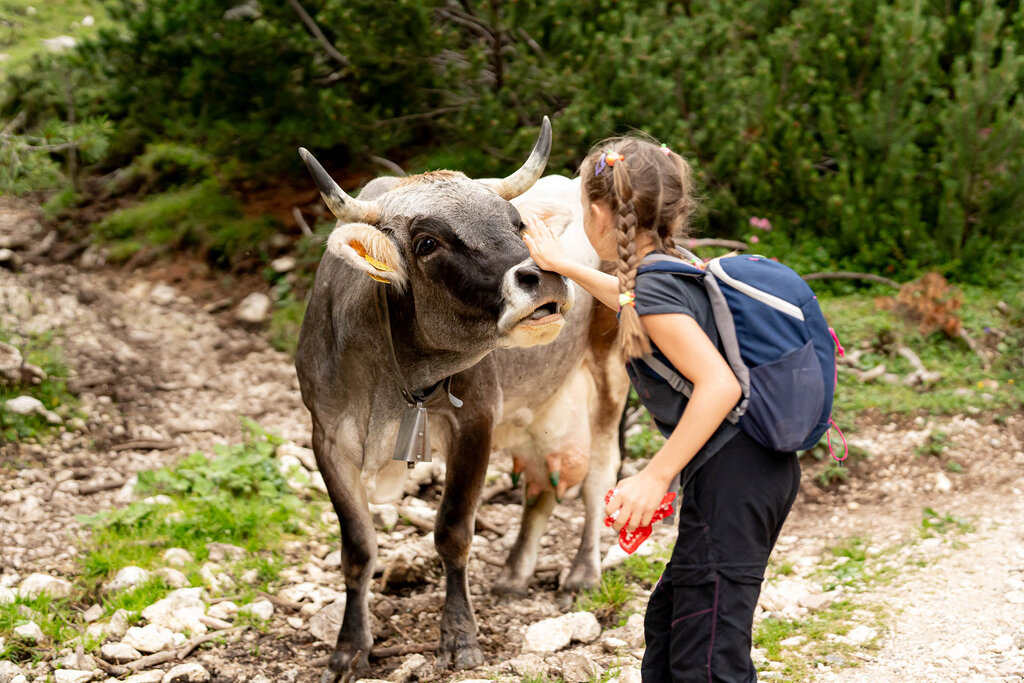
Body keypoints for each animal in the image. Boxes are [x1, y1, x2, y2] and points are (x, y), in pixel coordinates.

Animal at [295, 118, 629, 682]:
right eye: (427, 242)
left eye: (516, 223)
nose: (546, 276)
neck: (398, 380)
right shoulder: (327, 437)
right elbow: (358, 547)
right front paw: (348, 649)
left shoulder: (476, 421)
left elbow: (452, 530)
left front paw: (459, 637)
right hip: (536, 404)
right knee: (541, 486)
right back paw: (515, 574)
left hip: (608, 371)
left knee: (599, 476)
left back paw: (583, 572)